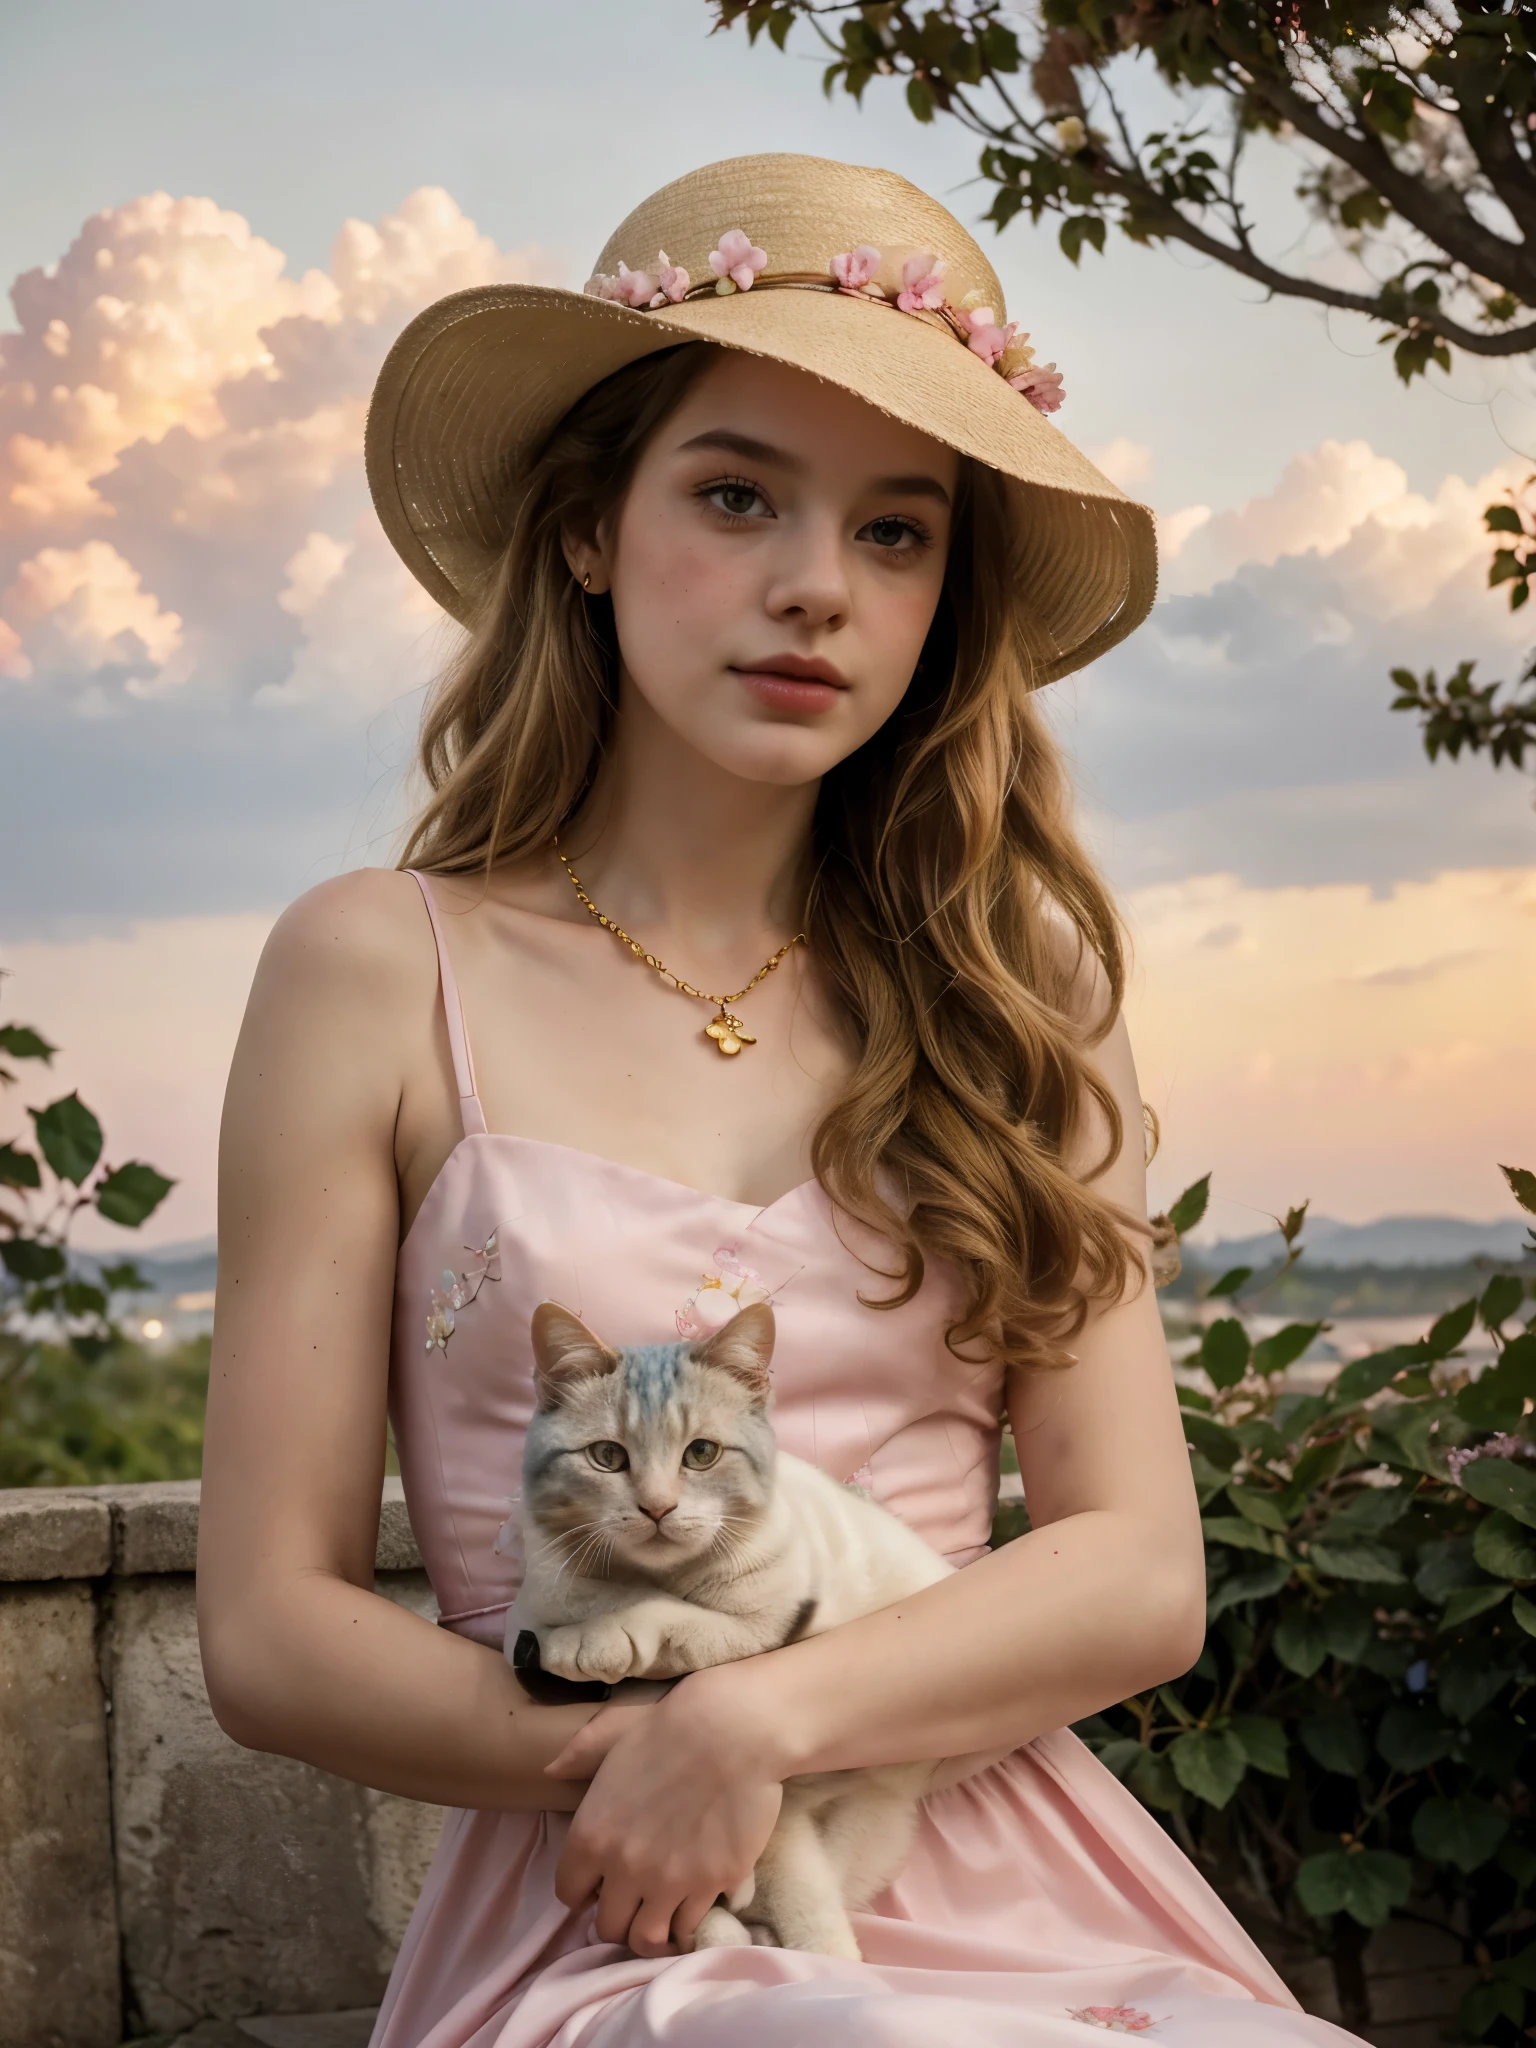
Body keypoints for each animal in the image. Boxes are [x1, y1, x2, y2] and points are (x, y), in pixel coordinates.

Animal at [505, 1294, 1011, 1949]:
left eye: (702, 1453)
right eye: (606, 1456)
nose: (657, 1507)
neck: (664, 1573)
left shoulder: (777, 1619)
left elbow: (677, 1627)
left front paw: (604, 1640)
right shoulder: (543, 1586)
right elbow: (564, 1603)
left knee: (817, 1916)